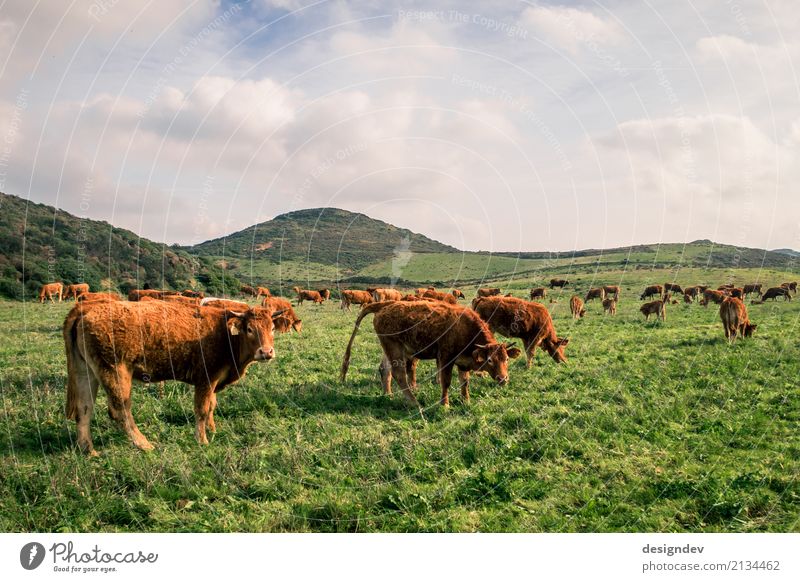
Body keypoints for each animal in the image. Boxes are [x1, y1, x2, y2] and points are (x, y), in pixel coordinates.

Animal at [62, 302, 282, 456]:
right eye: (249, 329)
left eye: (272, 328)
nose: (266, 352)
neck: (225, 334)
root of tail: (86, 307)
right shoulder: (206, 379)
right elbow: (202, 409)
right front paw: (202, 440)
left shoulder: (213, 382)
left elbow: (212, 405)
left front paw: (212, 429)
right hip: (115, 373)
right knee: (120, 411)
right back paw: (144, 445)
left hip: (86, 372)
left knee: (84, 409)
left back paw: (88, 450)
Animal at [340, 302, 520, 410]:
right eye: (489, 360)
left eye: (506, 359)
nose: (503, 379)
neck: (465, 328)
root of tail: (385, 306)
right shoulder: (446, 359)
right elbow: (446, 382)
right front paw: (445, 405)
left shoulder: (463, 363)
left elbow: (464, 382)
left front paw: (466, 401)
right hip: (395, 349)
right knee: (399, 374)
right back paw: (414, 402)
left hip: (389, 349)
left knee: (385, 370)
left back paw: (388, 396)